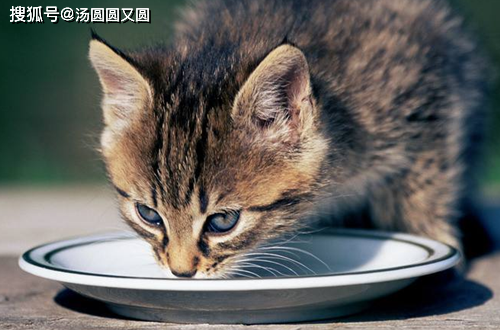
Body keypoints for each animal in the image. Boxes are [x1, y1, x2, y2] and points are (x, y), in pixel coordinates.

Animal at [90, 0, 488, 278]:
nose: (181, 272)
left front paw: (436, 242)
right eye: (149, 215)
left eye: (223, 221)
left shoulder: (430, 98)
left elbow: (424, 188)